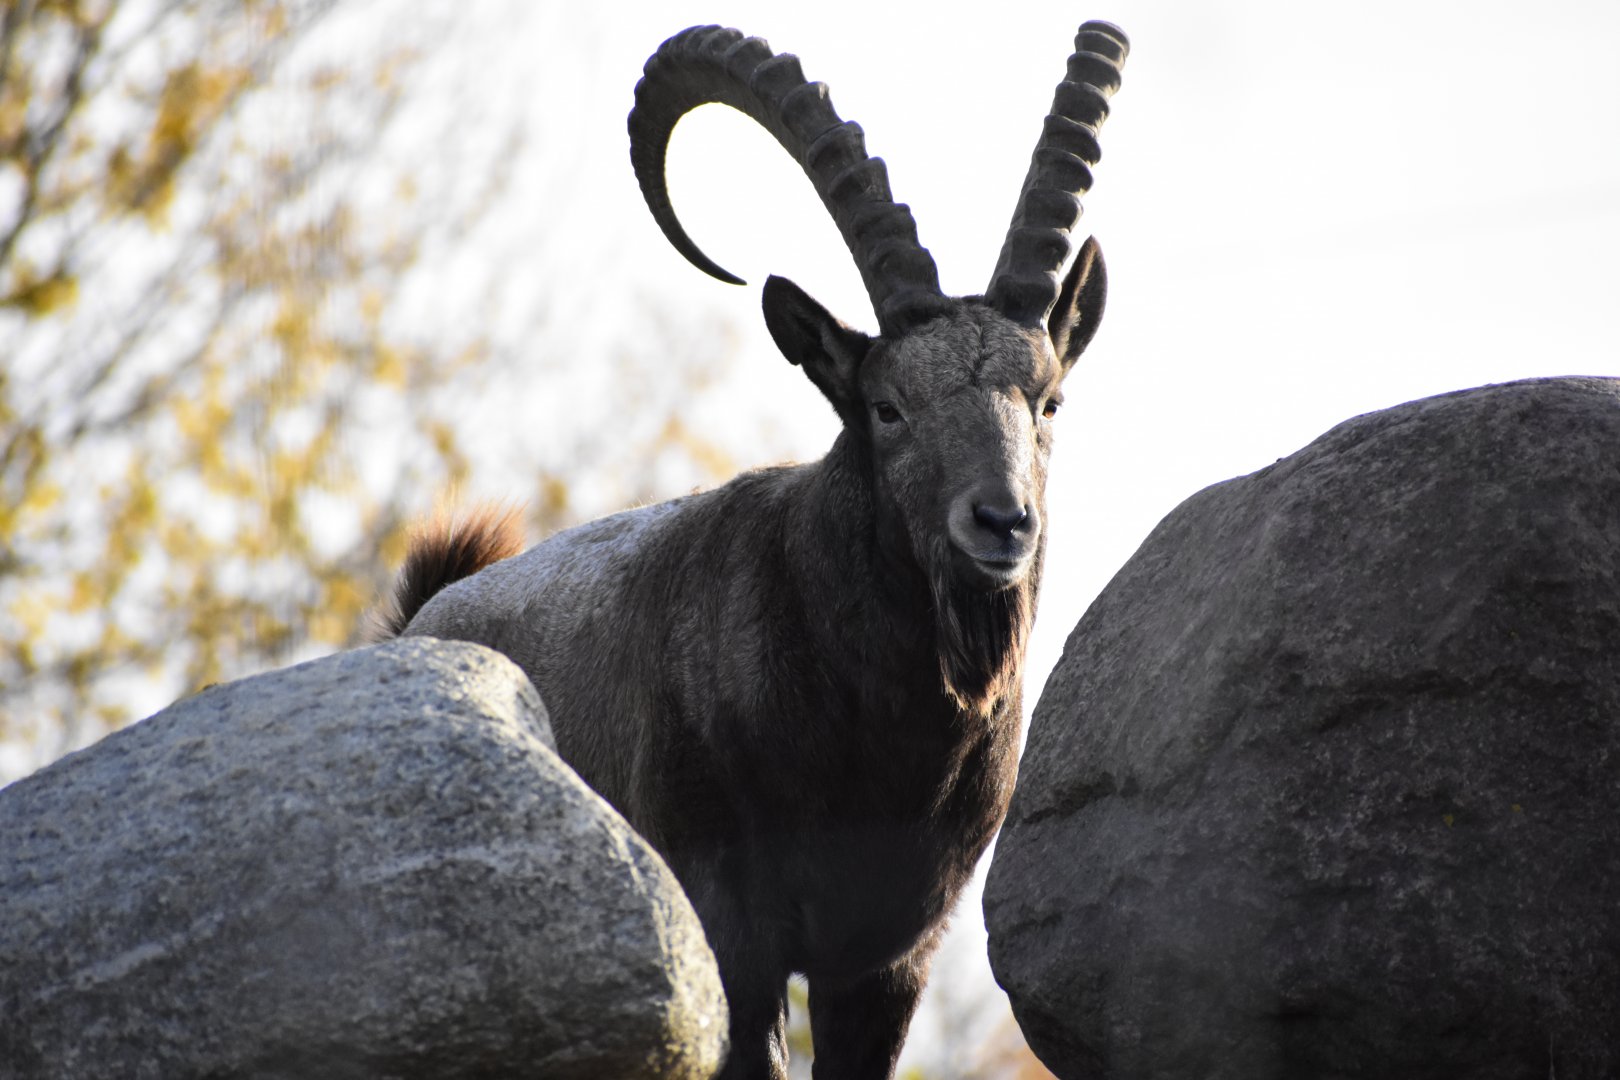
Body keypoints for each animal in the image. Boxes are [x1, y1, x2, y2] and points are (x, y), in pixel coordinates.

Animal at [370, 21, 1127, 1080]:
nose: (1000, 521)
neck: (876, 741)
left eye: (1049, 398)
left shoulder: (888, 957)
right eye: (887, 406)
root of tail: (424, 616)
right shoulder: (728, 931)